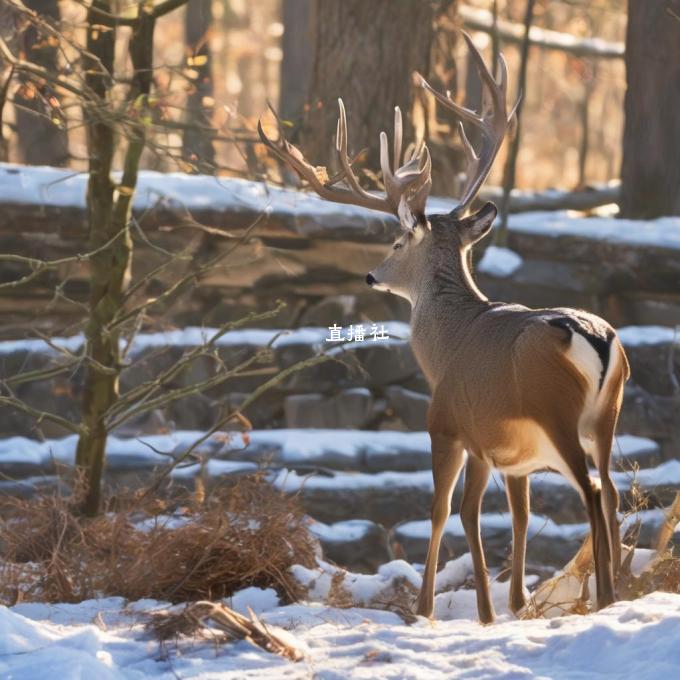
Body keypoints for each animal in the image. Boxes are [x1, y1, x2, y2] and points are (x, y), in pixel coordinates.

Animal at [258, 34, 628, 624]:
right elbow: (517, 516)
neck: (444, 347)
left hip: (554, 411)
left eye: (395, 242)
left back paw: (607, 596)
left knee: (591, 491)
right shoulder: (514, 459)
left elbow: (447, 511)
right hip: (607, 413)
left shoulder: (453, 425)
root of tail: (595, 338)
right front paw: (514, 602)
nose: (371, 274)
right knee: (613, 489)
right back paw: (613, 592)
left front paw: (439, 606)